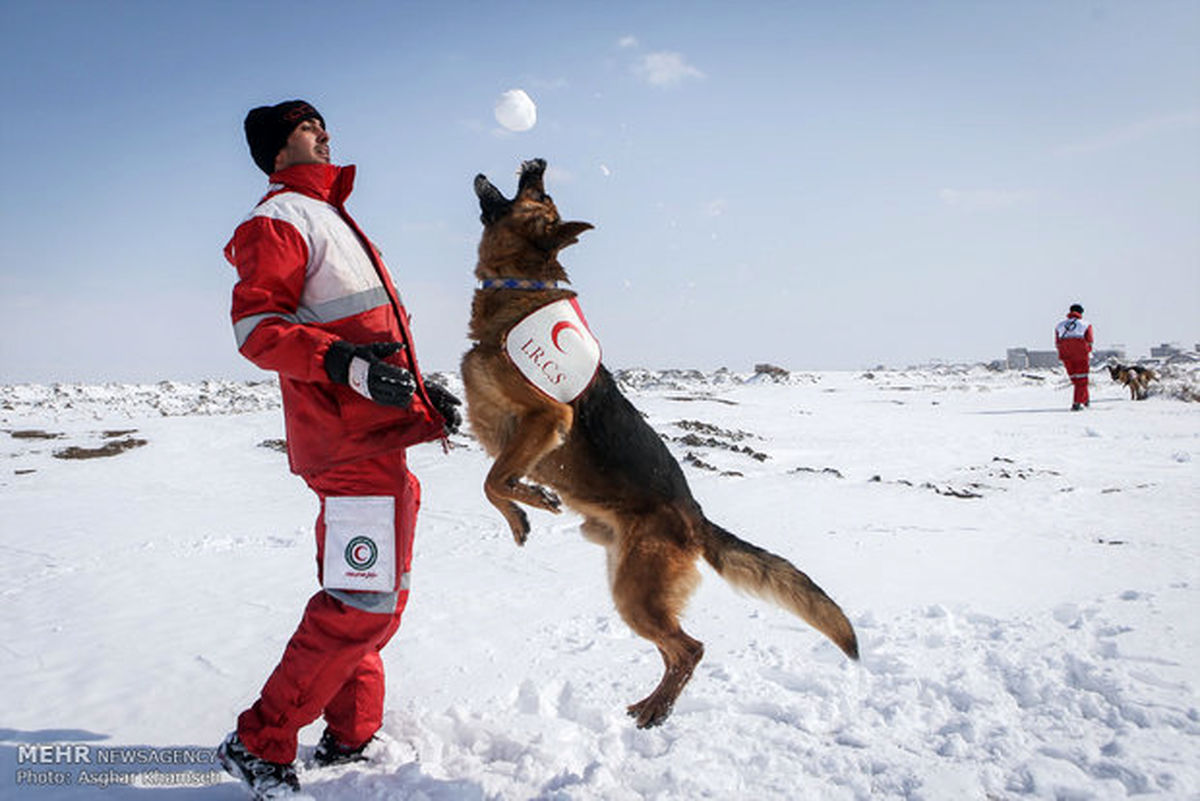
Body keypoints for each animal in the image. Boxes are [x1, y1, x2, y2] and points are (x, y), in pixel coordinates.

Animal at [460, 159, 864, 729]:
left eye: (538, 194)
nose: (536, 162)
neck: (523, 283)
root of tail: (695, 517)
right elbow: (494, 480)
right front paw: (524, 511)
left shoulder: (548, 417)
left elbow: (495, 479)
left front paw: (529, 506)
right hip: (627, 582)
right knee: (677, 650)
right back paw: (652, 704)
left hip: (636, 593)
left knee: (690, 648)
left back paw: (657, 709)